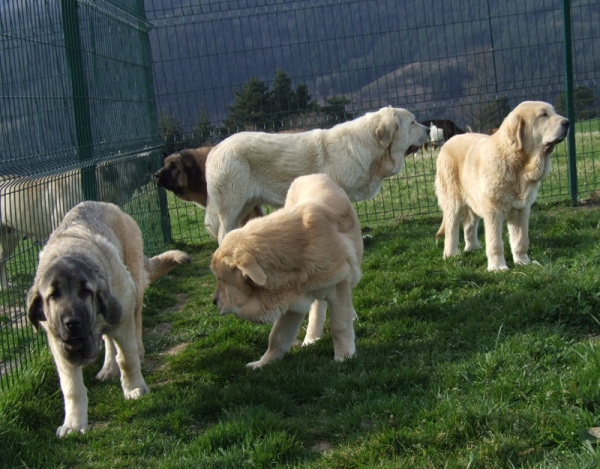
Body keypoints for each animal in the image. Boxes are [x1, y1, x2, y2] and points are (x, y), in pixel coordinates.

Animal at [25, 201, 190, 436]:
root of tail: (108, 205)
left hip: (132, 290)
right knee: (108, 340)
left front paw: (134, 388)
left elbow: (126, 359)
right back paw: (108, 368)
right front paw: (73, 424)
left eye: (85, 291)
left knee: (135, 323)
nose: (71, 322)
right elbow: (71, 387)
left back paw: (135, 353)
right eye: (53, 295)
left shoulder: (121, 318)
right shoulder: (58, 343)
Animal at [209, 174, 364, 368]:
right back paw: (312, 337)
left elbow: (339, 324)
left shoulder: (339, 285)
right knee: (318, 306)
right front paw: (263, 363)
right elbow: (277, 336)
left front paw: (344, 356)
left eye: (222, 279)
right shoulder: (293, 302)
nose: (214, 301)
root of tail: (311, 175)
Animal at [434, 102, 568, 270]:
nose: (568, 122)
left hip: (474, 199)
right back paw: (451, 255)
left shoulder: (521, 209)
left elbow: (521, 240)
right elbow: (495, 243)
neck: (517, 165)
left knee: (468, 223)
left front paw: (523, 262)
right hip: (453, 201)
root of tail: (450, 140)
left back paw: (473, 247)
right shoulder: (493, 211)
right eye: (543, 115)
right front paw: (497, 268)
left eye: (553, 112)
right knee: (451, 229)